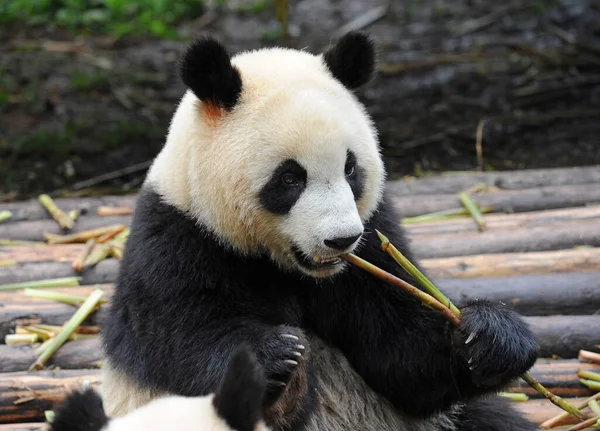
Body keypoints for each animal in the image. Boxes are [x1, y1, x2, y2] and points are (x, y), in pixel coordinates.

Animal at [99, 33, 540, 431]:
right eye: (290, 178)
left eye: (350, 168)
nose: (341, 240)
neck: (286, 267)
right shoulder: (177, 240)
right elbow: (183, 340)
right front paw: (277, 360)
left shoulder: (372, 240)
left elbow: (400, 351)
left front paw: (491, 336)